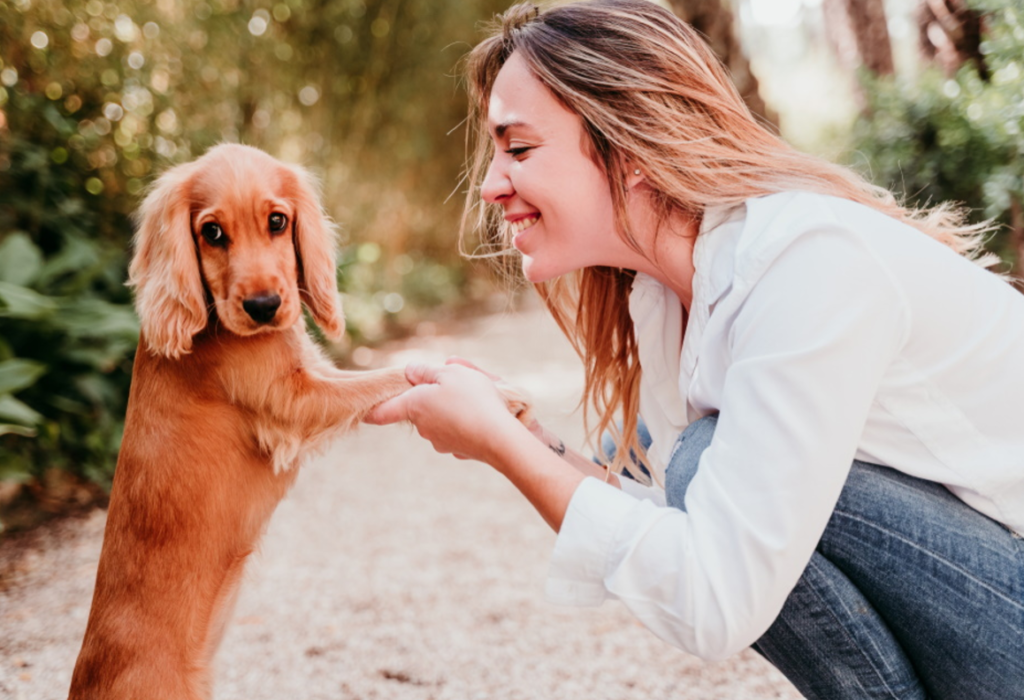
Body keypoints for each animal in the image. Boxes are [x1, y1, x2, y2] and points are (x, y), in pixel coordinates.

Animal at [68, 145, 528, 695]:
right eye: (212, 232)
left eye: (277, 221)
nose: (264, 307)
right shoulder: (296, 401)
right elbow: (392, 376)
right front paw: (498, 394)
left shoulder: (313, 375)